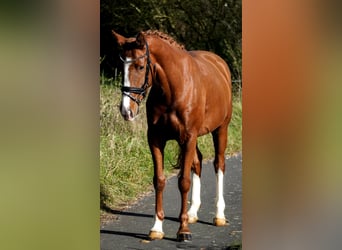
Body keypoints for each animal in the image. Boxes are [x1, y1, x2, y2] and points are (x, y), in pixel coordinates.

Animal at [112, 29, 232, 242]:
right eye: (122, 66)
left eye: (140, 66)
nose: (126, 111)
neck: (174, 87)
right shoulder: (156, 140)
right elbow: (159, 181)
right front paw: (157, 227)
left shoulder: (189, 137)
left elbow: (183, 182)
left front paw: (183, 230)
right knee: (198, 162)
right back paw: (192, 212)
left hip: (220, 130)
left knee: (219, 164)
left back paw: (219, 215)